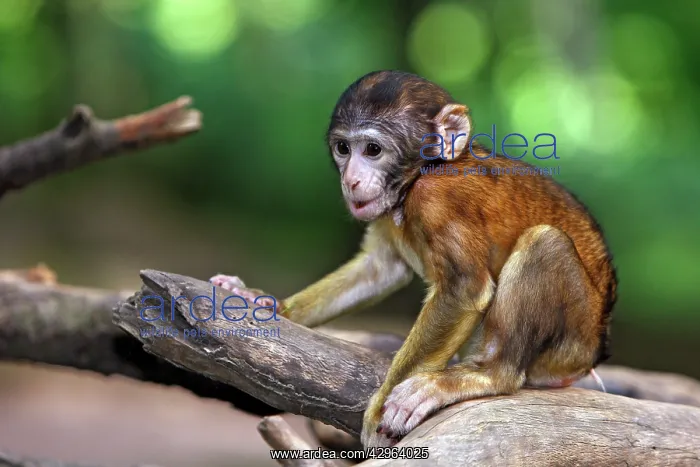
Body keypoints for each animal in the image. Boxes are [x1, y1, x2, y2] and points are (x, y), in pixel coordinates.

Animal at [210, 70, 617, 448]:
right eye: (343, 148)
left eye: (372, 150)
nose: (351, 180)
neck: (419, 176)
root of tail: (594, 349)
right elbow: (380, 269)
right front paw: (266, 303)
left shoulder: (438, 199)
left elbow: (464, 290)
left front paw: (377, 413)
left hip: (570, 343)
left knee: (545, 243)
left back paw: (487, 376)